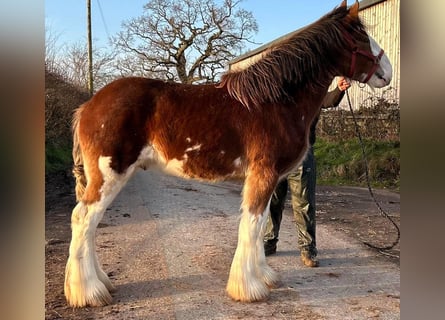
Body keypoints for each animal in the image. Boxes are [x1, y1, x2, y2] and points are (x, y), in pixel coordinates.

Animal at [64, 0, 390, 308]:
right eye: (361, 37)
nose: (387, 71)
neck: (275, 102)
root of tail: (88, 106)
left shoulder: (267, 178)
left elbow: (259, 224)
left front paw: (263, 276)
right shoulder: (263, 174)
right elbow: (252, 224)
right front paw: (249, 288)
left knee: (88, 223)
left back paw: (100, 283)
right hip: (109, 175)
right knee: (83, 219)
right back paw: (89, 292)